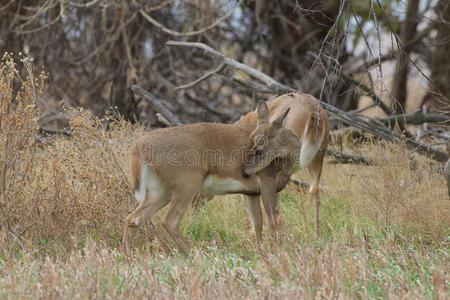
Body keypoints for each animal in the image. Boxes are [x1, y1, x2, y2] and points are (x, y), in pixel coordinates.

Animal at [121, 101, 300, 255]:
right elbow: (272, 220)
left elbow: (257, 222)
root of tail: (140, 146)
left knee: (133, 218)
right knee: (169, 221)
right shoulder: (267, 180)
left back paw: (129, 254)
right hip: (188, 183)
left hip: (159, 190)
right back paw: (194, 253)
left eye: (259, 150)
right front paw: (277, 251)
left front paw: (261, 251)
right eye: (252, 146)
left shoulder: (251, 192)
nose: (244, 173)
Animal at [239, 92, 330, 238]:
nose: (244, 172)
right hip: (320, 151)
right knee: (314, 189)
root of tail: (314, 114)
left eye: (259, 151)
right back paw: (316, 235)